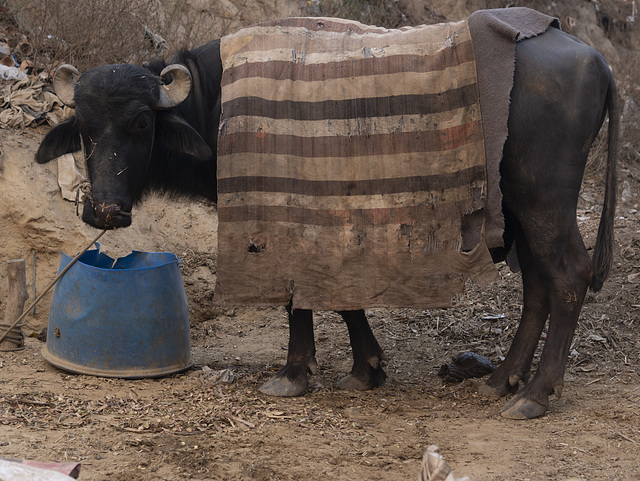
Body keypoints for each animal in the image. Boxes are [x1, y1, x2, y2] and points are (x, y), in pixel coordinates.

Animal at [35, 16, 616, 418]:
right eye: (84, 127)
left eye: (140, 124)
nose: (105, 210)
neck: (217, 104)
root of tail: (595, 59)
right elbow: (337, 291)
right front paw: (366, 368)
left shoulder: (278, 218)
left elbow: (301, 293)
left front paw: (293, 374)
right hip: (522, 209)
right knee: (539, 284)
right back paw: (501, 380)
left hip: (544, 201)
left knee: (568, 277)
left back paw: (536, 394)